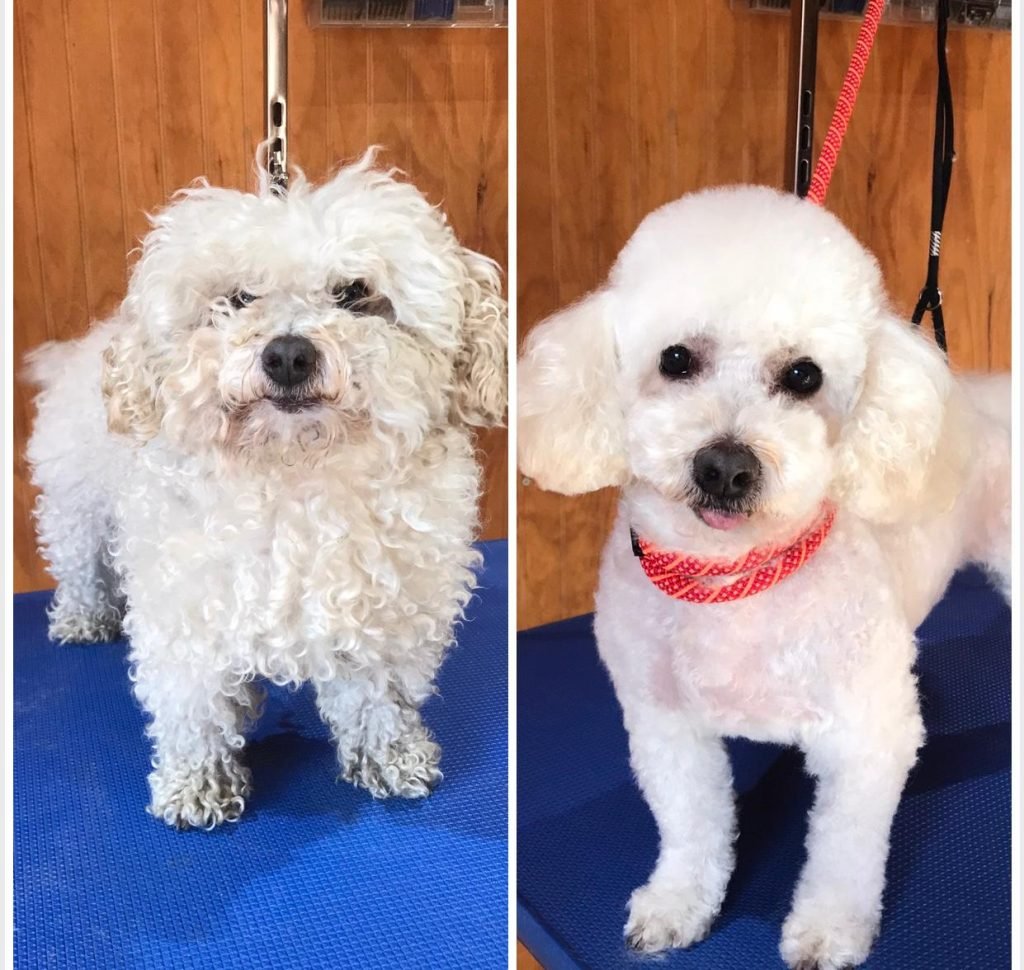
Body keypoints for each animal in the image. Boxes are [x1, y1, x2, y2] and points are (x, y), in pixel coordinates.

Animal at [29, 155, 509, 831]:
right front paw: (196, 783)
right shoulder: (187, 613)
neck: (294, 475)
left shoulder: (385, 609)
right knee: (79, 568)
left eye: (355, 293)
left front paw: (390, 757)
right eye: (236, 300)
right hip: (75, 509)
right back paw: (82, 616)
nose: (287, 355)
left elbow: (377, 696)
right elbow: (194, 708)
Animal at [520, 187, 1007, 970]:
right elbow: (691, 826)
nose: (725, 466)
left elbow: (844, 854)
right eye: (677, 359)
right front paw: (677, 904)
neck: (731, 582)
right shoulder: (666, 724)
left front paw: (829, 929)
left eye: (804, 376)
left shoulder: (866, 739)